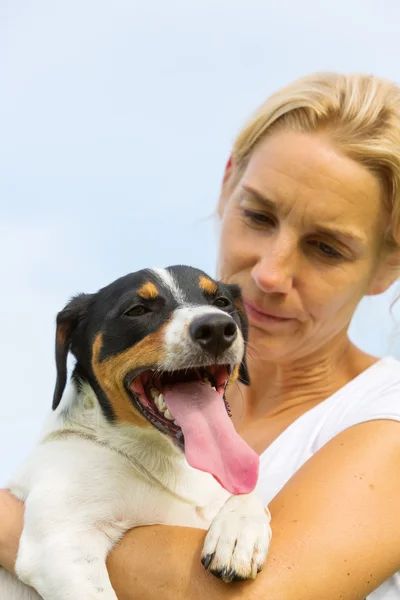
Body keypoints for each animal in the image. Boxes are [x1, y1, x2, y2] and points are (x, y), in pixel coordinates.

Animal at [0, 264, 272, 596]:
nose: (218, 328)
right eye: (137, 310)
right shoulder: (61, 543)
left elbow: (247, 493)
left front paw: (238, 535)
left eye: (222, 302)